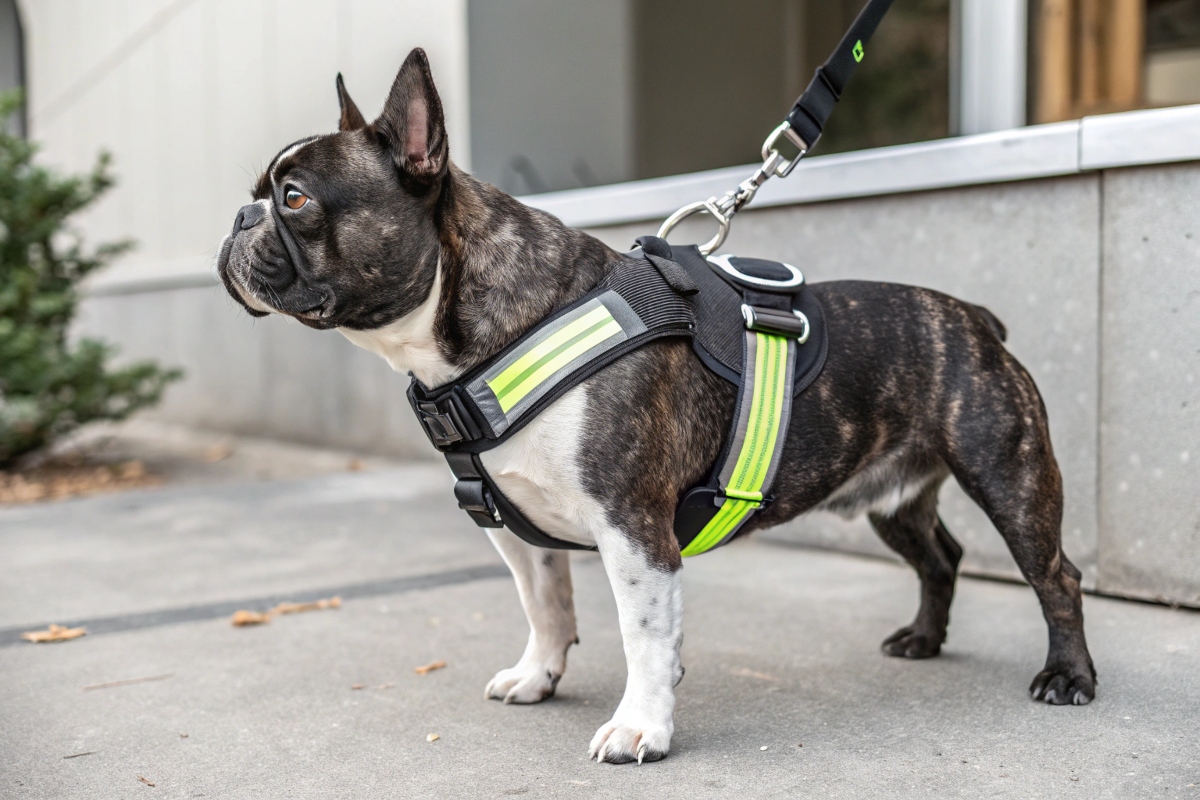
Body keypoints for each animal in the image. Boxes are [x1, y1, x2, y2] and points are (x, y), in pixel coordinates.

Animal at [216, 48, 1099, 762]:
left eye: (294, 198)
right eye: (260, 194)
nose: (238, 215)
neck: (484, 332)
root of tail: (973, 316)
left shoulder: (631, 526)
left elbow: (642, 635)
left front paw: (641, 726)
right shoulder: (517, 525)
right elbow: (544, 604)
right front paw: (538, 675)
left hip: (1009, 474)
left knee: (1055, 574)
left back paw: (1067, 676)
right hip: (890, 493)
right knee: (938, 557)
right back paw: (922, 638)